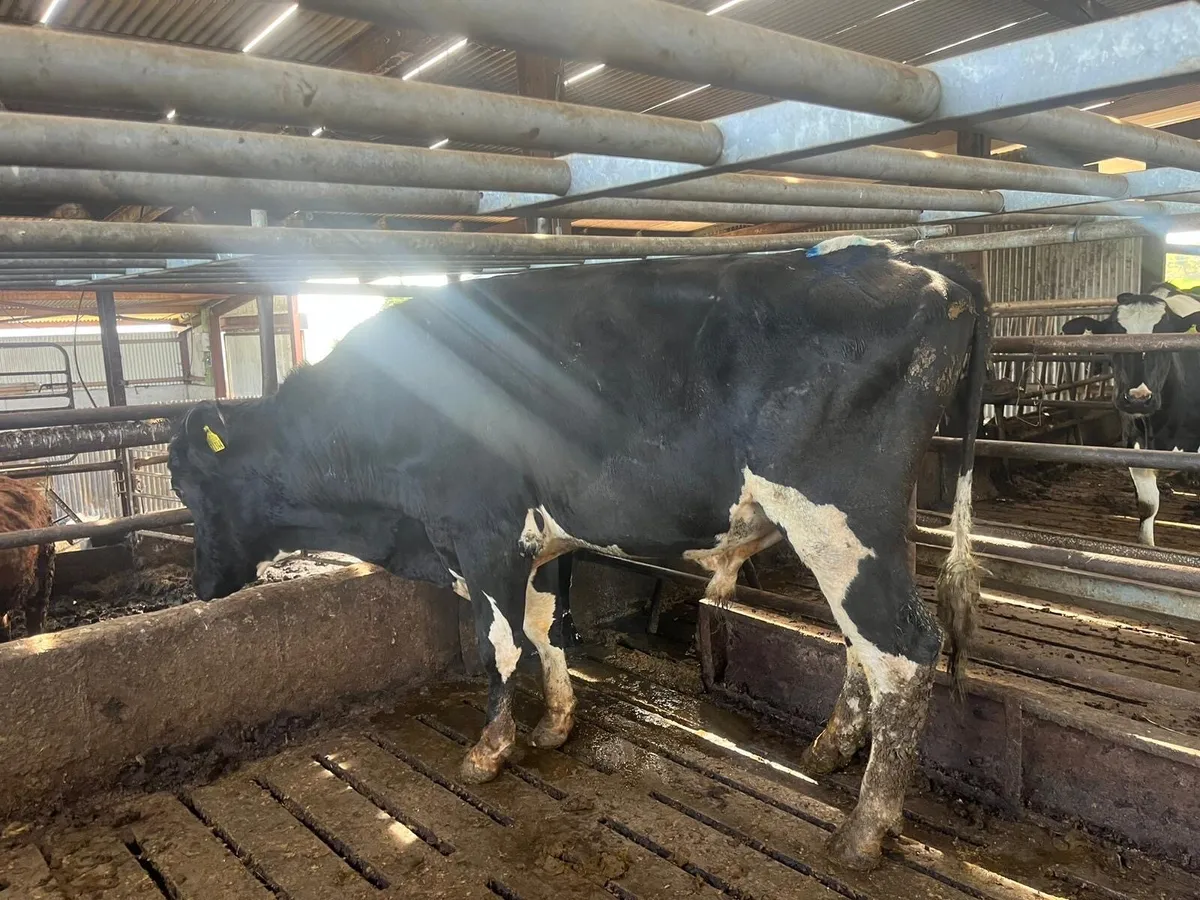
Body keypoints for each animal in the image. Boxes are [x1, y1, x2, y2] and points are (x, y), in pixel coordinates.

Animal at [167, 237, 988, 870]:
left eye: (189, 484)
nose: (202, 587)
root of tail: (915, 262)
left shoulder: (482, 531)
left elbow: (498, 645)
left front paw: (490, 750)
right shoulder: (539, 540)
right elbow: (545, 626)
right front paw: (556, 724)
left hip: (838, 515)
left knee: (904, 650)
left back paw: (864, 830)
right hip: (867, 532)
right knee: (862, 640)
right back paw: (832, 748)